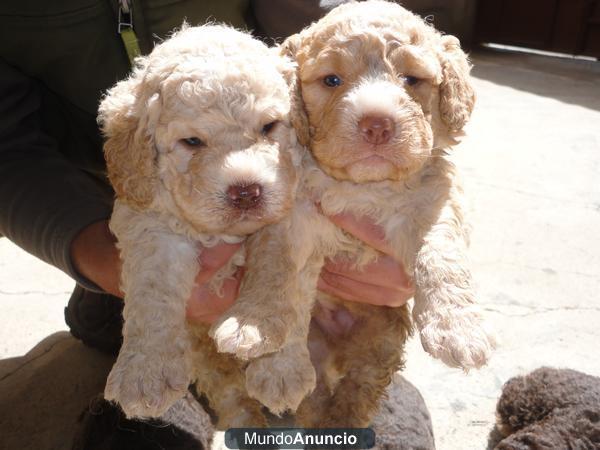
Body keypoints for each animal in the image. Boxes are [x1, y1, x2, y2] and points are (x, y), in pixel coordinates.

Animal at [101, 22, 304, 428]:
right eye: (192, 141)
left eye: (269, 126)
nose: (246, 192)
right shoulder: (150, 224)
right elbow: (153, 290)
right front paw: (145, 371)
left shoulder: (292, 207)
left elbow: (278, 265)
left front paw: (270, 350)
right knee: (228, 391)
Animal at [211, 1, 496, 428]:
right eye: (332, 79)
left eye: (412, 79)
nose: (377, 124)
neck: (364, 189)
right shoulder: (290, 219)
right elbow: (278, 275)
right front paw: (266, 347)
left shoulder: (436, 200)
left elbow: (442, 257)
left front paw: (459, 328)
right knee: (315, 396)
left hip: (382, 338)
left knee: (359, 388)